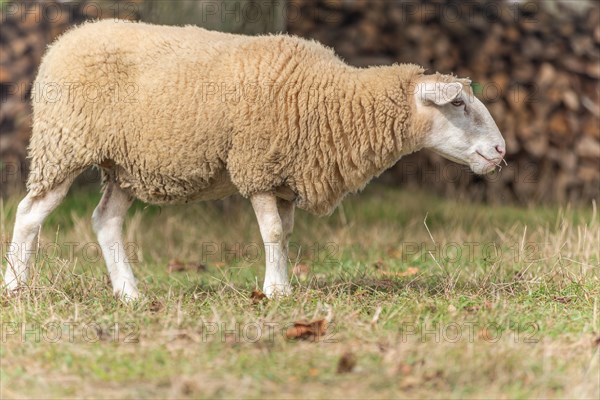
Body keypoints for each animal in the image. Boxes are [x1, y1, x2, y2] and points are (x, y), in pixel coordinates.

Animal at [3, 20, 506, 298]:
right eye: (457, 104)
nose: (501, 151)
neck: (328, 100)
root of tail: (63, 40)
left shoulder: (286, 178)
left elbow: (285, 234)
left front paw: (281, 283)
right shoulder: (259, 167)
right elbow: (273, 232)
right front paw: (277, 291)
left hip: (127, 164)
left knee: (105, 220)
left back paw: (129, 294)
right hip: (63, 144)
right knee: (29, 214)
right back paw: (15, 286)